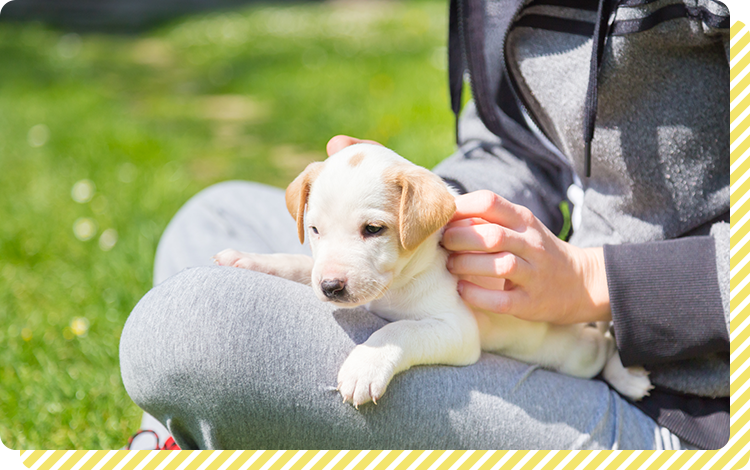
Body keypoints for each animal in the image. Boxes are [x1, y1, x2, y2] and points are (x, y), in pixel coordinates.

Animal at [213, 143, 652, 408]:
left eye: (373, 229)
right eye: (315, 230)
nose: (331, 287)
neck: (395, 286)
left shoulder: (456, 329)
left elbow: (400, 330)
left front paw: (365, 365)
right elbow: (295, 263)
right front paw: (247, 259)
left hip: (576, 354)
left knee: (605, 346)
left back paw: (628, 376)